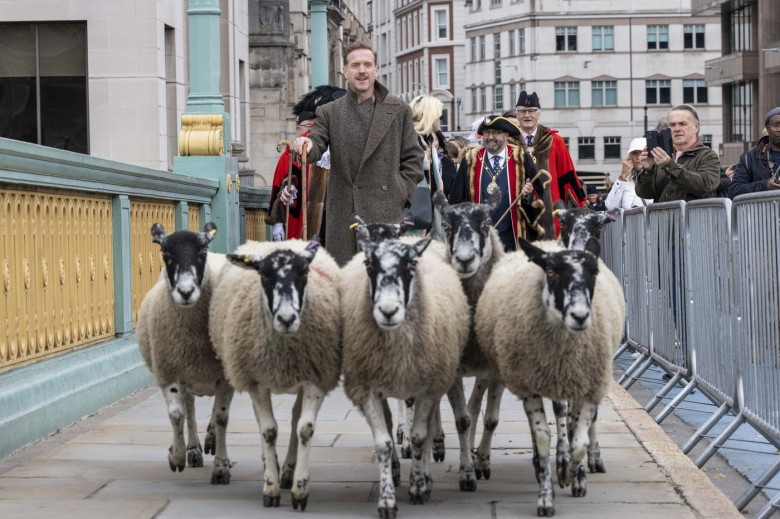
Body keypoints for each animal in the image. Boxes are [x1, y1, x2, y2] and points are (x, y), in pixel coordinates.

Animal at [135, 221, 235, 486]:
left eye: (202, 250)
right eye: (165, 252)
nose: (186, 291)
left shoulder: (225, 377)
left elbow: (221, 418)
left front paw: (221, 468)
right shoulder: (170, 372)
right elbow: (177, 415)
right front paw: (177, 456)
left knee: (214, 413)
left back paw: (210, 441)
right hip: (186, 376)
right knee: (189, 410)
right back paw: (194, 450)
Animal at [207, 240, 342, 512]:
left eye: (304, 273)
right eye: (264, 275)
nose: (287, 319)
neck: (284, 352)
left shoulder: (315, 379)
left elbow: (305, 429)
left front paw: (300, 489)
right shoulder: (257, 382)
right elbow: (268, 430)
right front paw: (270, 488)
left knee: (295, 419)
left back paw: (288, 470)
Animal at [342, 234, 470, 516]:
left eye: (411, 265)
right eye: (369, 265)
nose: (388, 311)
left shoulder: (428, 385)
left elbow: (421, 435)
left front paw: (419, 487)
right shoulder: (368, 387)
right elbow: (383, 441)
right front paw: (387, 499)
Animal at [472, 238, 624, 516]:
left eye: (593, 273)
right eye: (551, 272)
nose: (580, 317)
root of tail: (547, 243)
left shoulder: (589, 385)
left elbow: (579, 442)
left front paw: (573, 474)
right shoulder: (529, 386)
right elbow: (543, 437)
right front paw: (546, 498)